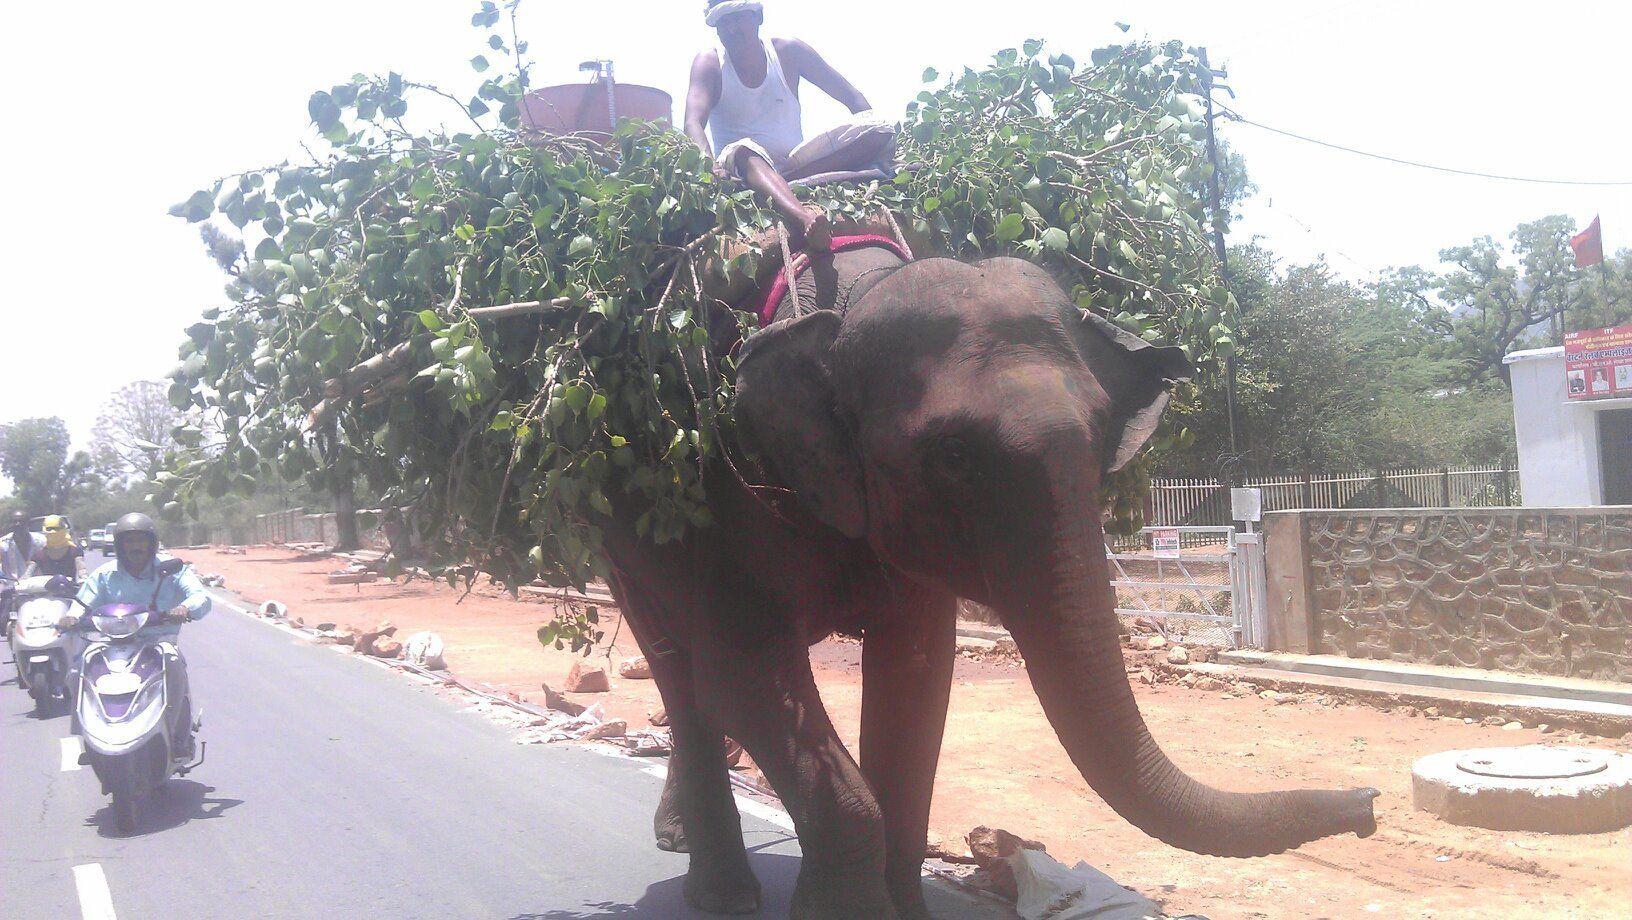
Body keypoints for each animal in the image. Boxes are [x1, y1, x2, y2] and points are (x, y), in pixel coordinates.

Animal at [595, 244, 1378, 919]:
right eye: (952, 456)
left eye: (1102, 438)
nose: (1369, 804)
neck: (850, 298)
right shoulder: (724, 501)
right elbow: (744, 671)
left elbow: (918, 677)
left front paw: (900, 912)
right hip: (628, 538)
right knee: (680, 668)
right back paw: (717, 891)